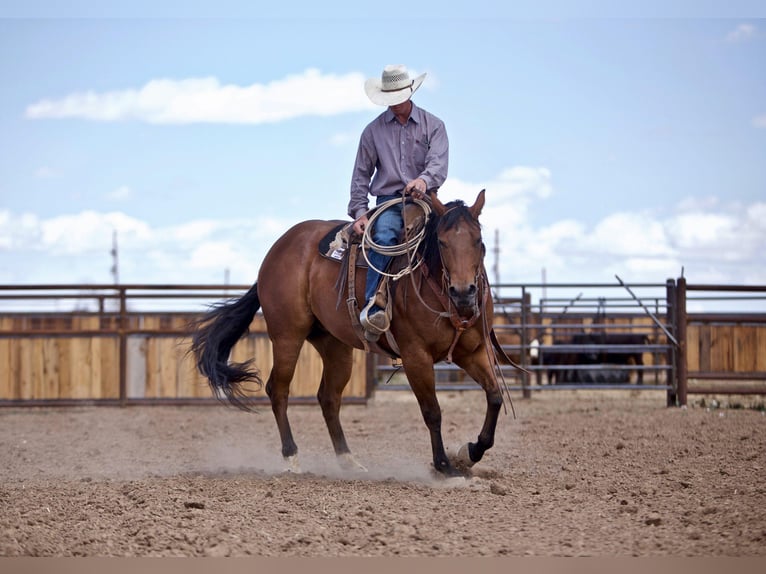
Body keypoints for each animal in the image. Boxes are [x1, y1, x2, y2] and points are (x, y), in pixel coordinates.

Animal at [189, 191, 508, 480]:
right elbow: (432, 411)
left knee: (328, 397)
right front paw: (444, 466)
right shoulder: (416, 356)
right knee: (278, 390)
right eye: (441, 242)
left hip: (335, 345)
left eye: (479, 242)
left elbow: (494, 396)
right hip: (287, 336)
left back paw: (348, 461)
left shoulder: (475, 351)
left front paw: (470, 453)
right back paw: (292, 458)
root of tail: (277, 250)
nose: (464, 292)